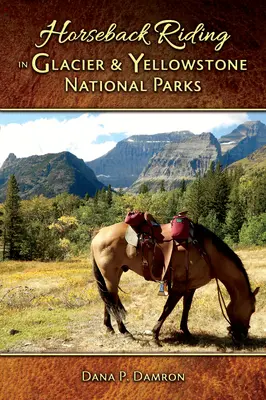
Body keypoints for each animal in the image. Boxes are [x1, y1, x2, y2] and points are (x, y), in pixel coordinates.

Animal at [92, 217, 260, 346]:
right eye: (252, 309)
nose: (243, 336)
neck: (207, 253)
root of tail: (100, 232)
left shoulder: (191, 286)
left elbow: (186, 308)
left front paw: (186, 332)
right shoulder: (179, 286)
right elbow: (168, 308)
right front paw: (155, 335)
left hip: (113, 275)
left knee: (109, 300)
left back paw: (109, 328)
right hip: (111, 275)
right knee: (112, 300)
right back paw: (124, 331)